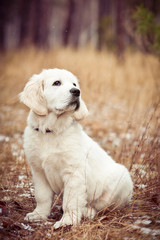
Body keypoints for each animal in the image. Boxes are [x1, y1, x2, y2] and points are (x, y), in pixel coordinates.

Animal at [20, 68, 133, 229]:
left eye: (74, 84)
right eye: (57, 83)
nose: (76, 91)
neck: (51, 130)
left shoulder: (74, 173)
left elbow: (70, 201)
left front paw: (67, 221)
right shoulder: (38, 171)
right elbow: (42, 196)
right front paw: (38, 215)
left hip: (120, 179)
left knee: (102, 205)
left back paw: (87, 211)